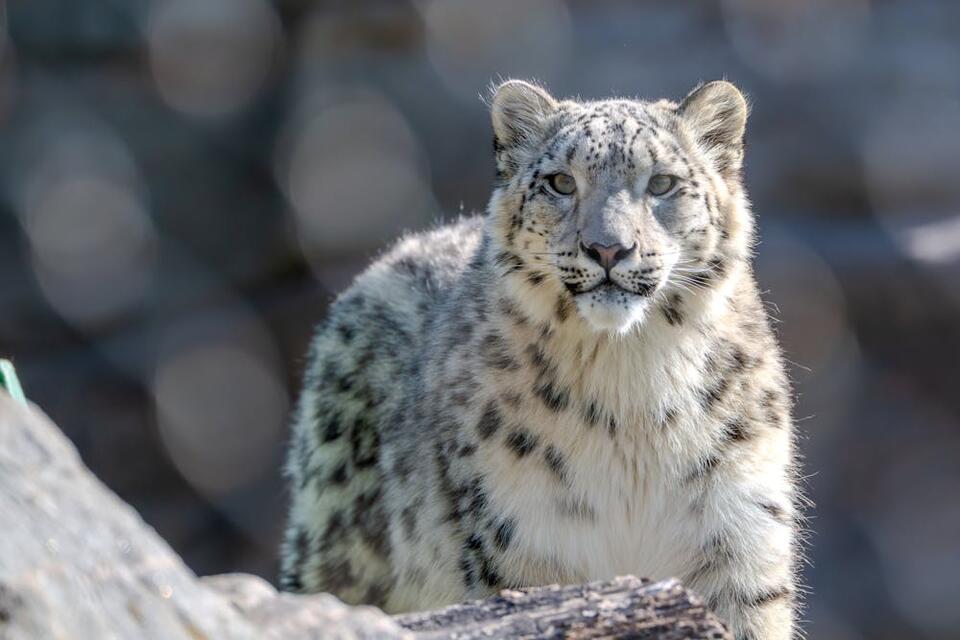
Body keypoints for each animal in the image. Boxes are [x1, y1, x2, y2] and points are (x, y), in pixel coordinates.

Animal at [279, 79, 805, 640]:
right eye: (561, 182)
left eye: (662, 182)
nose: (608, 249)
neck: (631, 385)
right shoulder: (523, 533)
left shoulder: (739, 528)